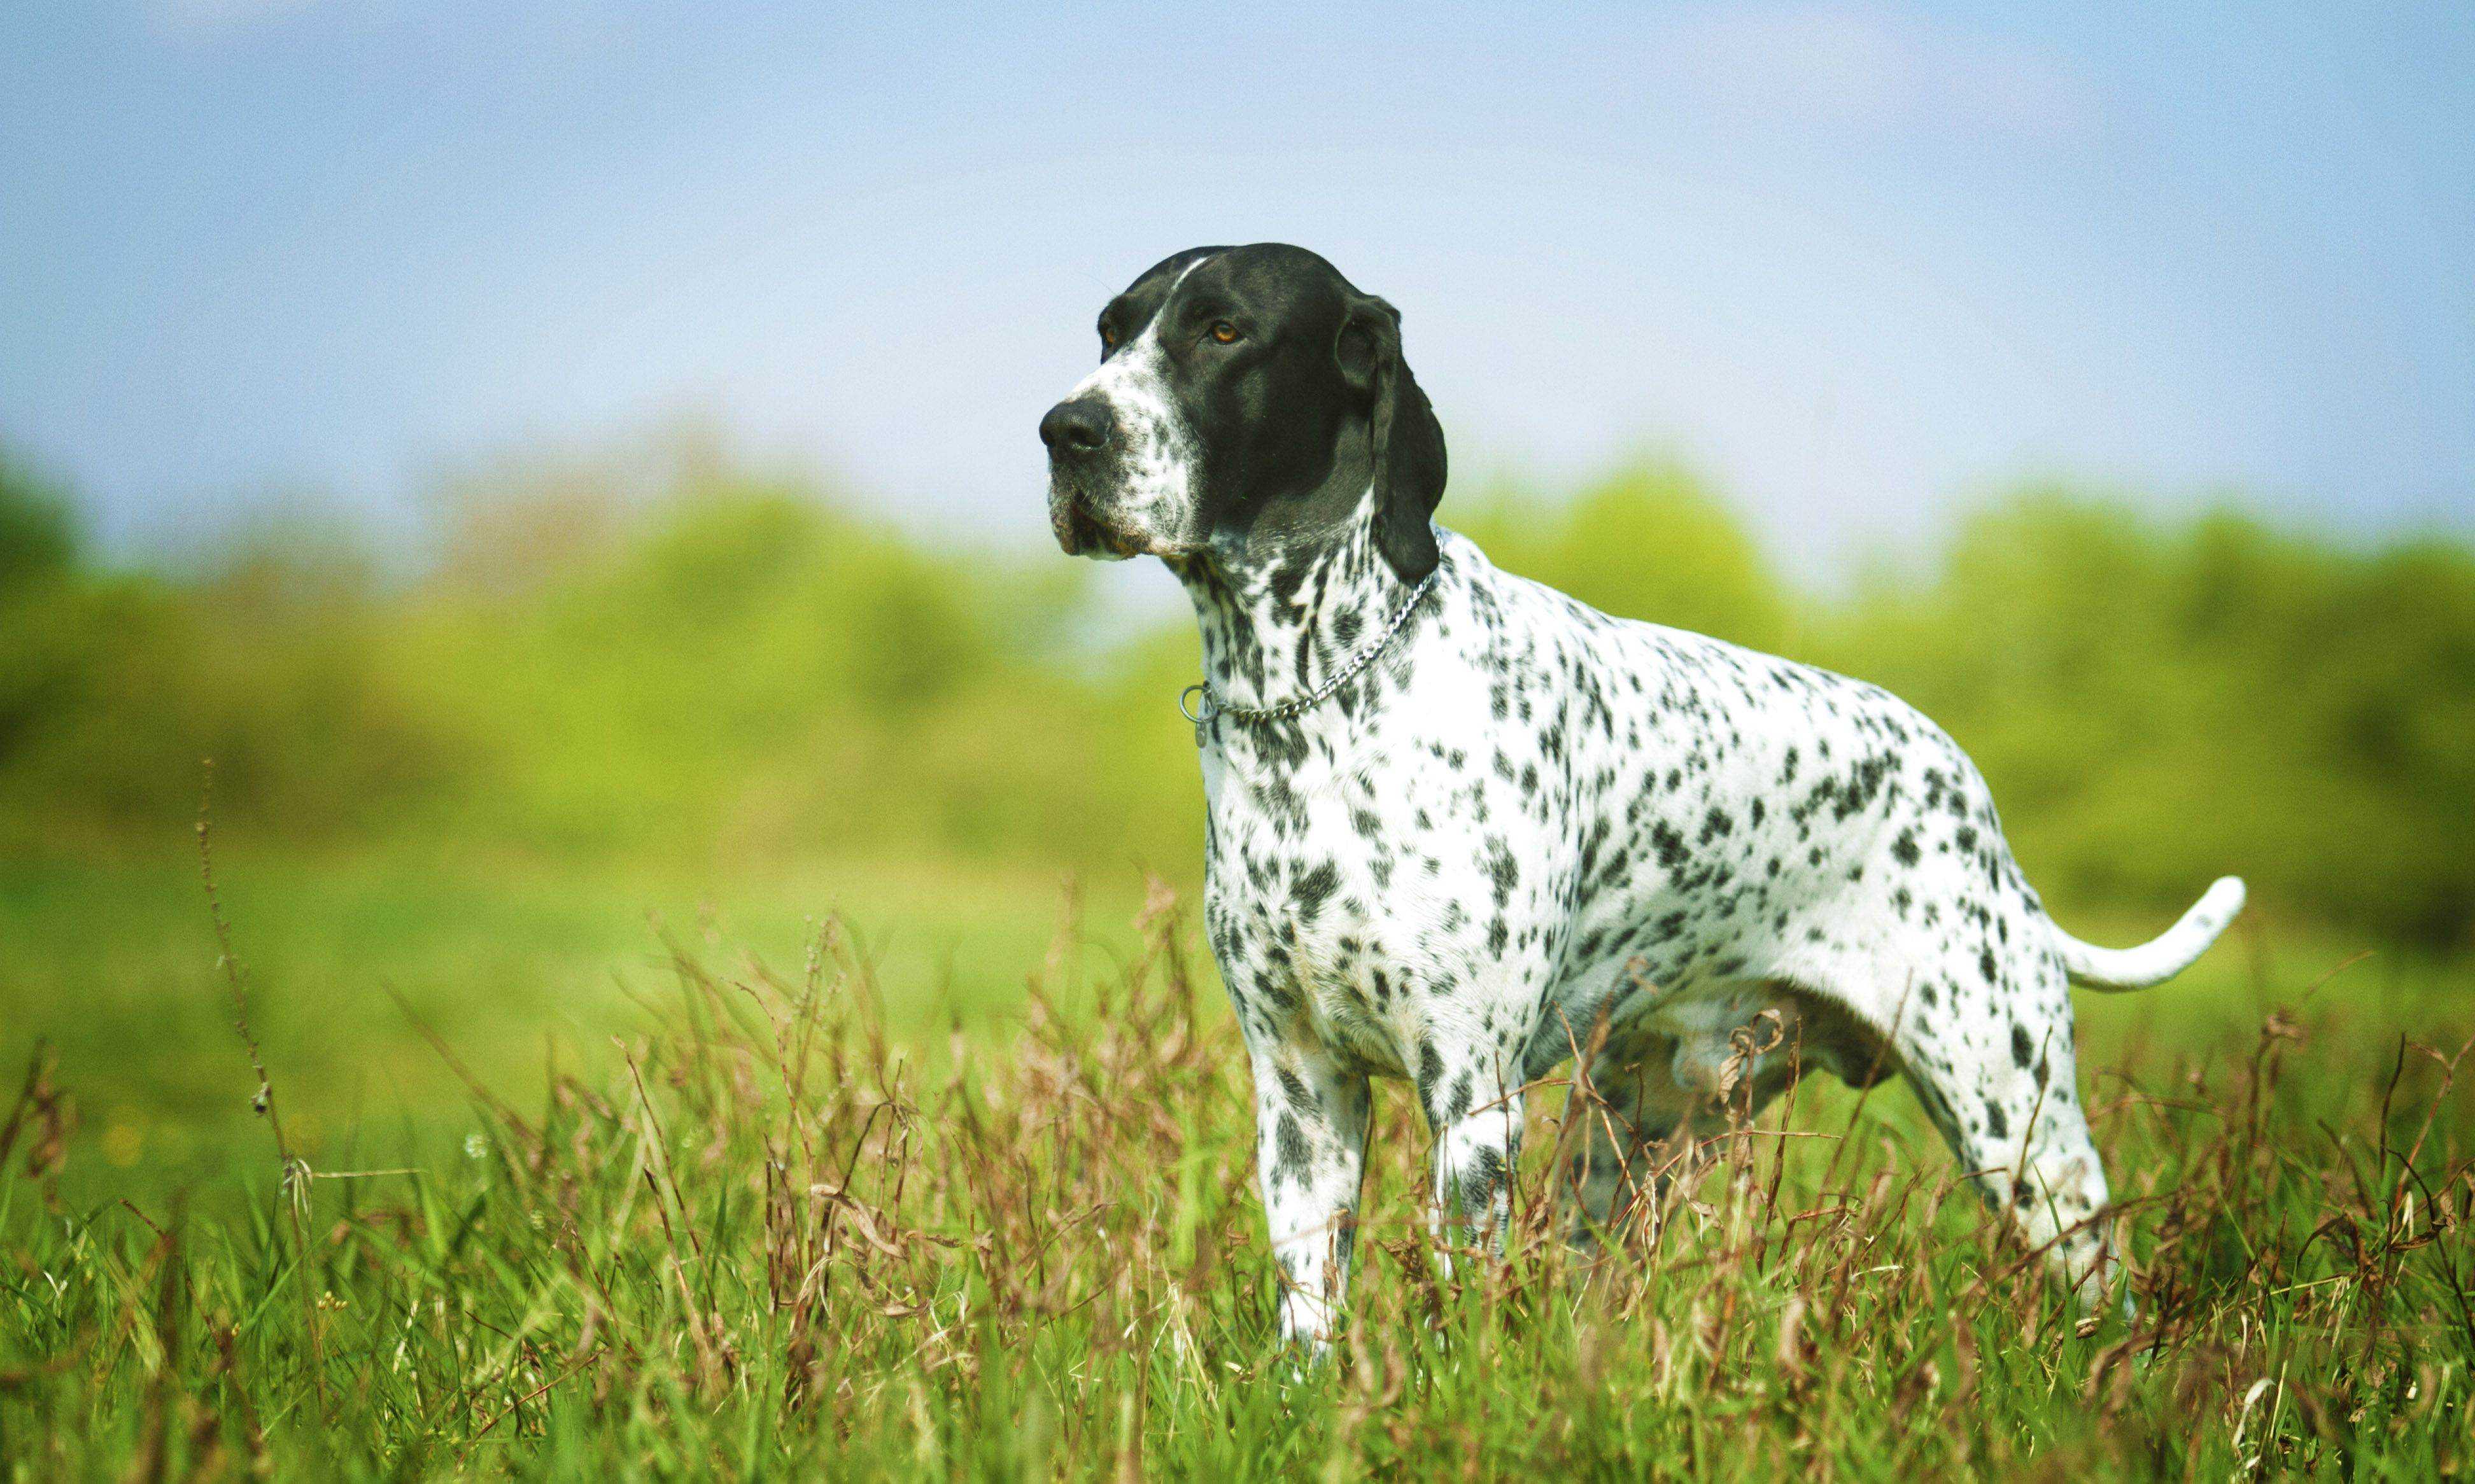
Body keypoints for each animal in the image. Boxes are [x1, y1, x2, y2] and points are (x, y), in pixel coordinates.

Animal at [1039, 241, 2247, 1345]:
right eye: (1108, 331)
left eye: (1223, 331)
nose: (1065, 430)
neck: (1315, 703)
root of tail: (1974, 804)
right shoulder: (1300, 1090)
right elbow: (1308, 1316)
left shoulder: (1468, 1094)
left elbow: (1455, 1307)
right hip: (1630, 1147)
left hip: (2020, 1138)